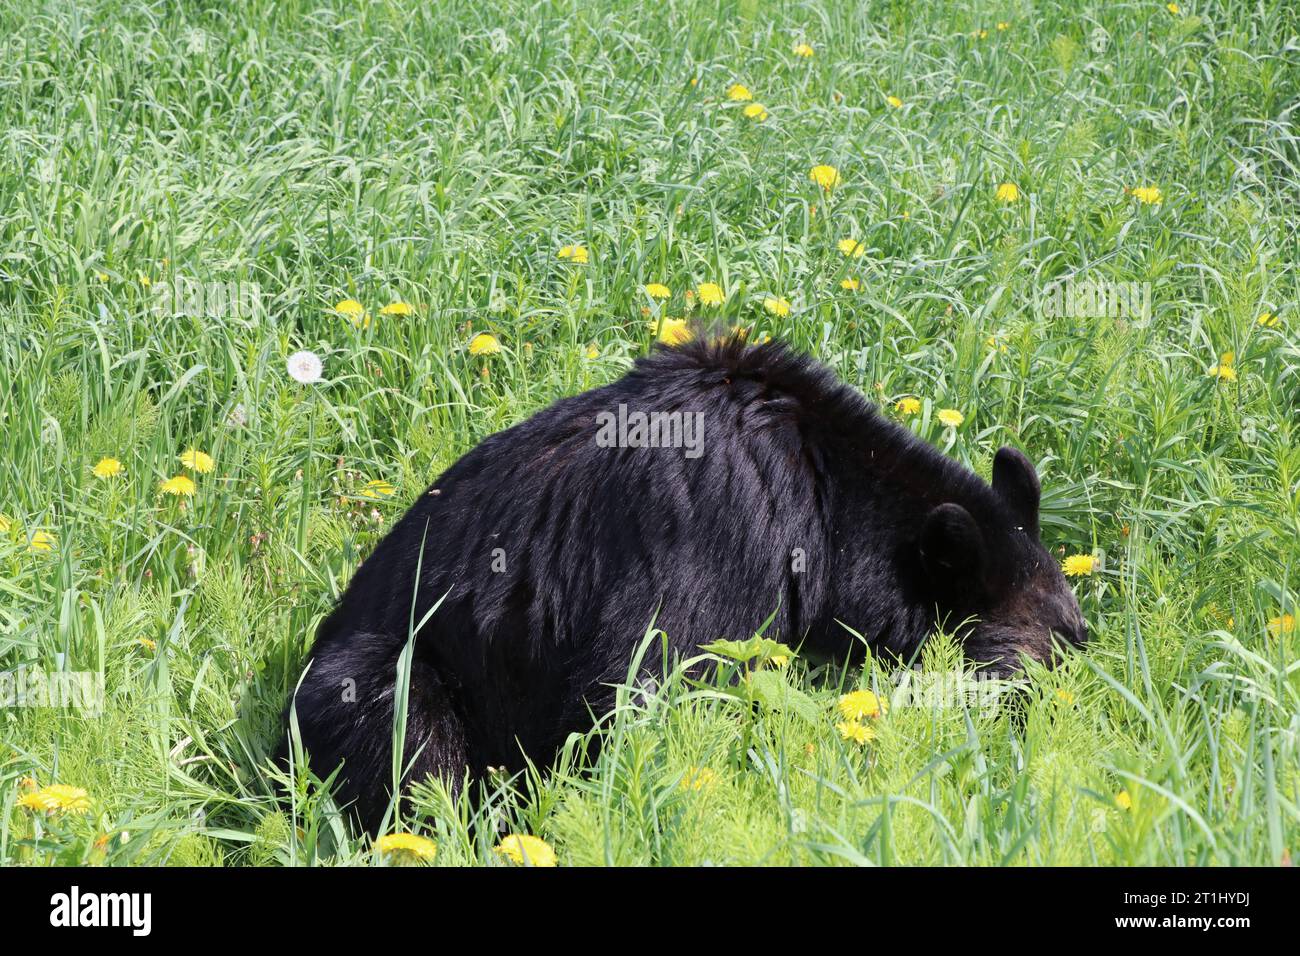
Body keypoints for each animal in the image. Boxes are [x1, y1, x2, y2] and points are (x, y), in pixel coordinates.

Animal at [281, 335, 1087, 831]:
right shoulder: (727, 522)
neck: (827, 506)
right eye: (1032, 668)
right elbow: (643, 678)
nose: (1070, 734)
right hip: (375, 679)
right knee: (404, 730)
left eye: (1080, 640)